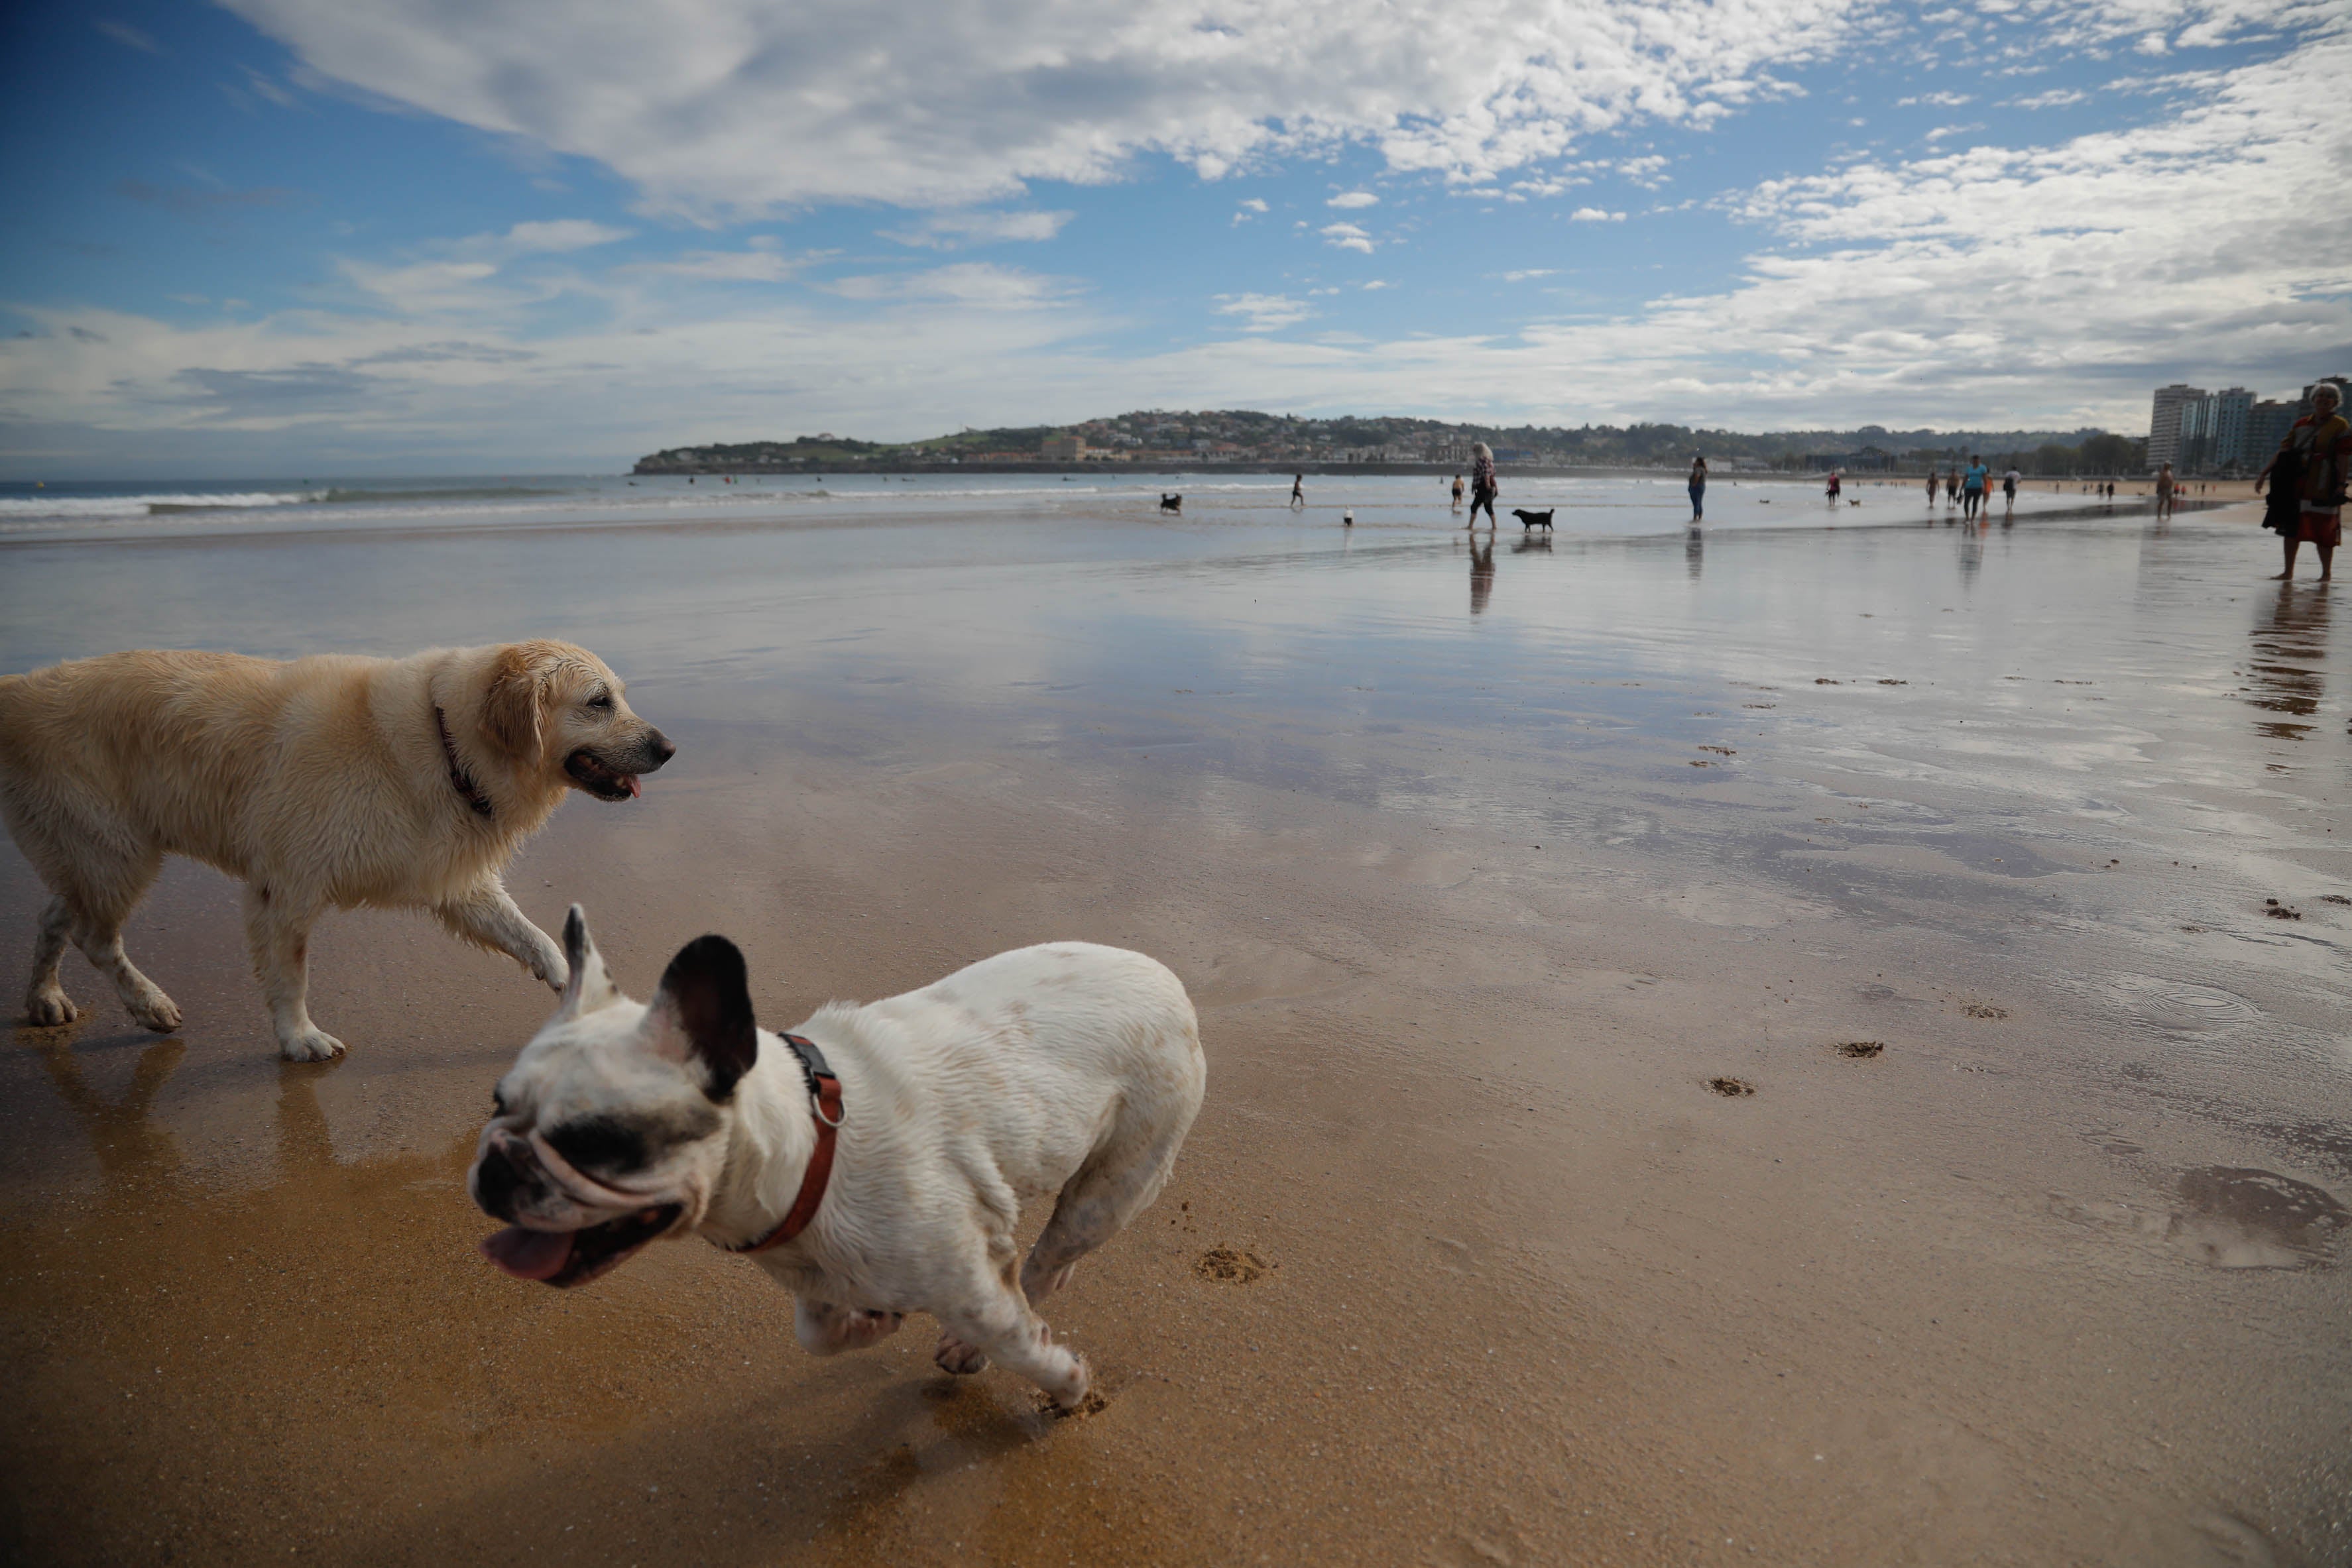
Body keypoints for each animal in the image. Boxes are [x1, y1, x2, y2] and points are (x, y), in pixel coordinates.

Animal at [0, 644, 672, 1062]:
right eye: (598, 702)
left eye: (620, 696)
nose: (668, 748)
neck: (446, 741)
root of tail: (16, 690)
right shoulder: (286, 884)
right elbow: (291, 973)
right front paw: (300, 1038)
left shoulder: (453, 879)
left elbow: (530, 934)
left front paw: (572, 982)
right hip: (116, 849)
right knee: (94, 936)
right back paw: (150, 1004)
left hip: (88, 851)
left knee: (54, 914)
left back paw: (45, 999)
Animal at [477, 907, 1213, 1410]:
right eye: (495, 1103)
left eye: (595, 1141)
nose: (495, 1164)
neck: (813, 1145)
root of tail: (1168, 980)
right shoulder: (813, 1276)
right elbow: (816, 1331)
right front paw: (867, 1326)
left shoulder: (975, 1293)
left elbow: (1025, 1347)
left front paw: (1069, 1387)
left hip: (1111, 1187)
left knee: (1048, 1262)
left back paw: (979, 1344)